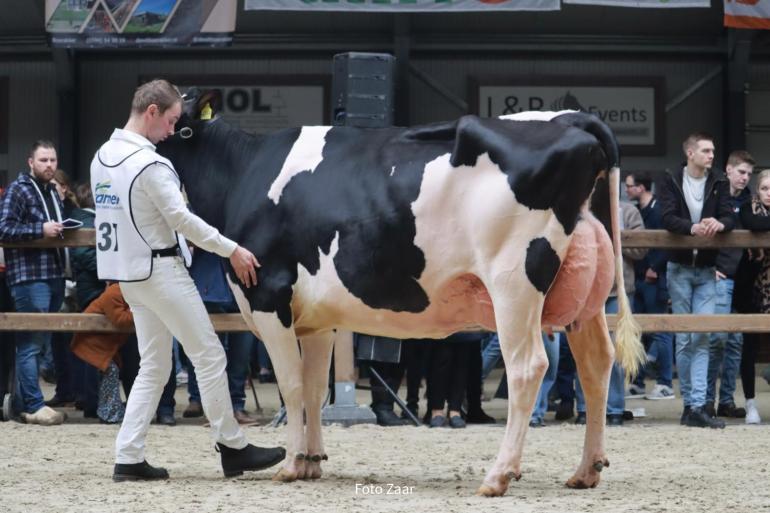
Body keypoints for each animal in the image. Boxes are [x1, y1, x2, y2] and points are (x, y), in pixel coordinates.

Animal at [159, 91, 644, 496]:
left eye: (174, 126)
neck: (243, 172)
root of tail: (572, 118)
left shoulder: (267, 297)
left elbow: (292, 385)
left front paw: (292, 464)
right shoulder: (317, 319)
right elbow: (315, 388)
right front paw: (313, 460)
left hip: (513, 281)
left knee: (527, 368)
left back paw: (498, 475)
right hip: (586, 298)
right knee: (597, 364)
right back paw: (586, 470)